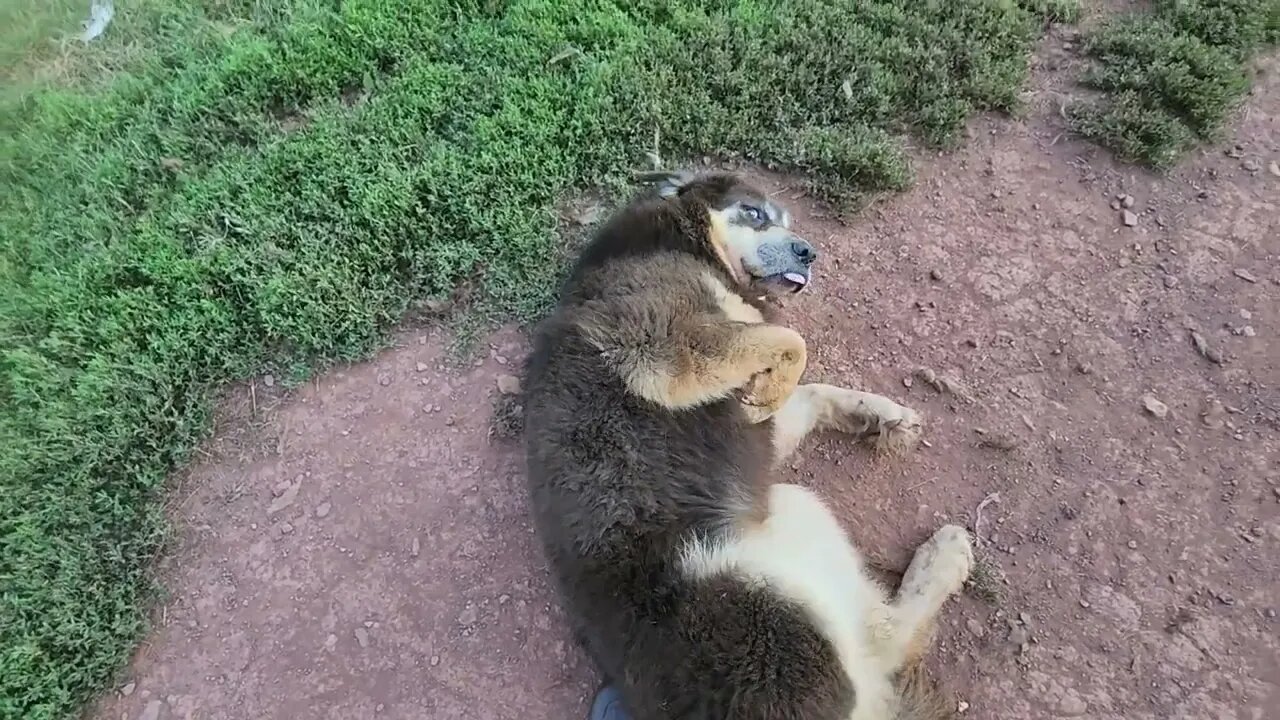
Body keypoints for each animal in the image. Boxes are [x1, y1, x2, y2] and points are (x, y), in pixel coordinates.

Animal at [519, 170, 967, 712]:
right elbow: (792, 342)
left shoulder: (749, 408)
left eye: (786, 221)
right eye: (754, 213)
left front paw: (877, 414)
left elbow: (807, 393)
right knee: (887, 639)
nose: (808, 253)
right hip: (795, 531)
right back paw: (946, 556)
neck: (687, 244)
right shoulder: (666, 347)